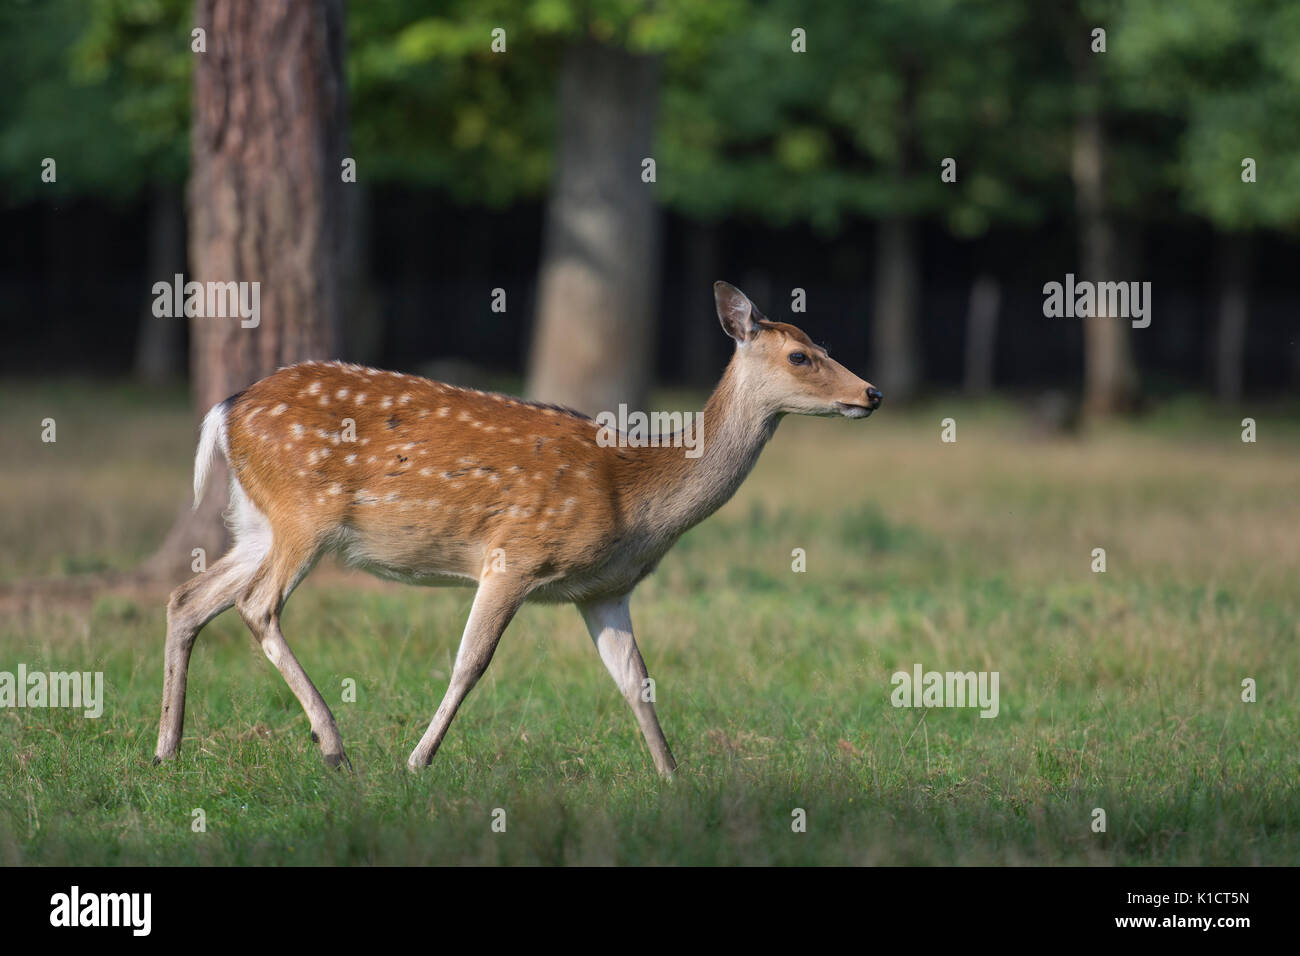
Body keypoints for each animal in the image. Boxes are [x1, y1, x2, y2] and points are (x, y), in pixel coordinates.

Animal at [154, 281, 882, 776]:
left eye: (824, 346)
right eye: (800, 356)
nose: (871, 393)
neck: (637, 500)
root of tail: (227, 409)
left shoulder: (604, 590)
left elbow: (636, 680)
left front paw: (672, 776)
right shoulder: (516, 554)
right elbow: (470, 663)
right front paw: (417, 761)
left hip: (258, 522)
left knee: (187, 598)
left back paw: (166, 749)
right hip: (305, 514)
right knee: (256, 605)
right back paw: (332, 746)